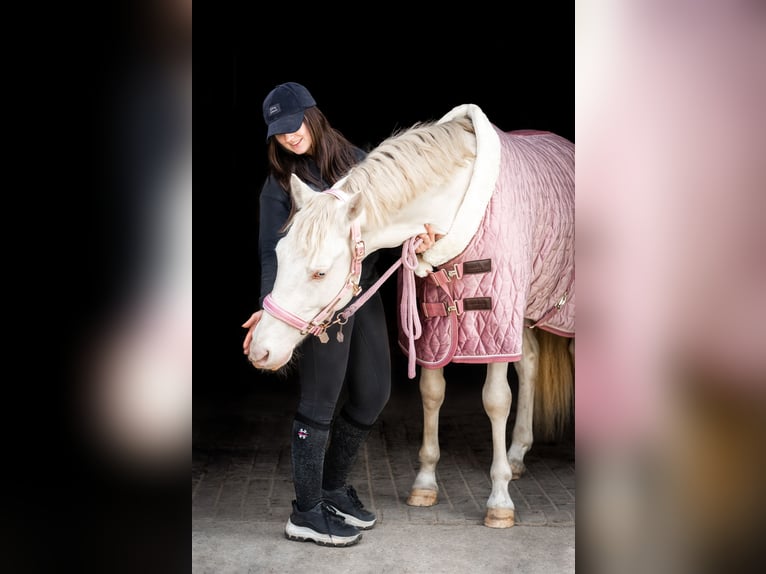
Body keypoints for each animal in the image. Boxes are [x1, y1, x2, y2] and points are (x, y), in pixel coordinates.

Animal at [250, 104, 576, 532]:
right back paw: (518, 453)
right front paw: (424, 483)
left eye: (320, 272)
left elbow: (495, 401)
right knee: (531, 362)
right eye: (279, 253)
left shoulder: (493, 318)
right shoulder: (436, 325)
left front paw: (499, 499)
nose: (260, 350)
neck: (456, 200)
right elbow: (431, 392)